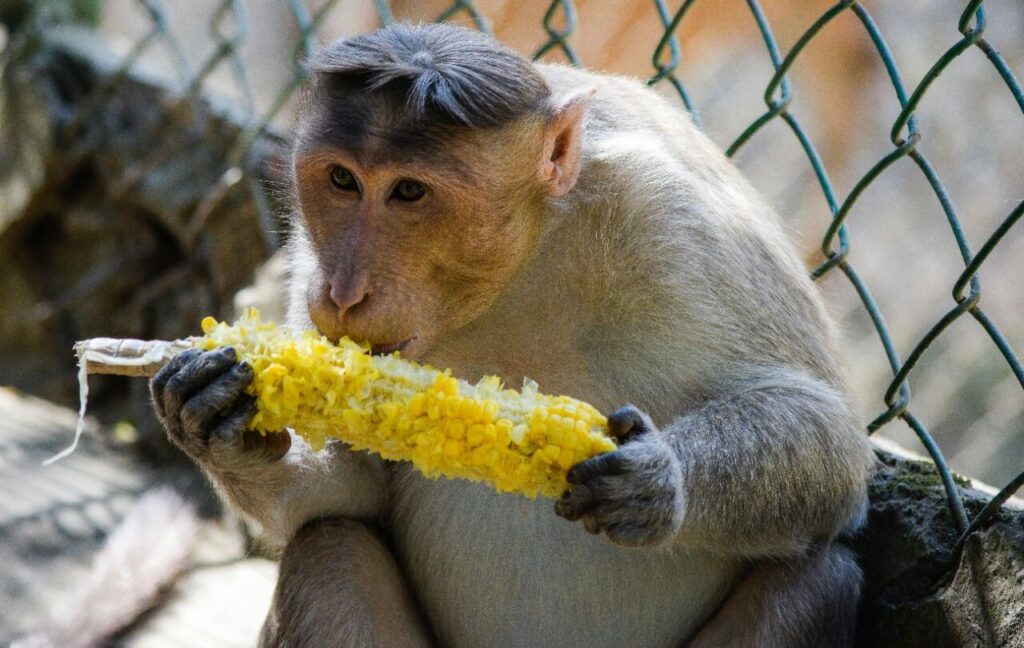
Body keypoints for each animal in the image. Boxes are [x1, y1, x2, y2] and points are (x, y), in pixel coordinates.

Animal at [150, 22, 876, 647]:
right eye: (341, 179)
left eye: (409, 192)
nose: (342, 293)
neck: (524, 263)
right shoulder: (309, 253)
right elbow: (351, 491)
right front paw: (226, 427)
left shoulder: (676, 220)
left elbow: (829, 437)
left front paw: (657, 478)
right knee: (331, 550)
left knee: (818, 581)